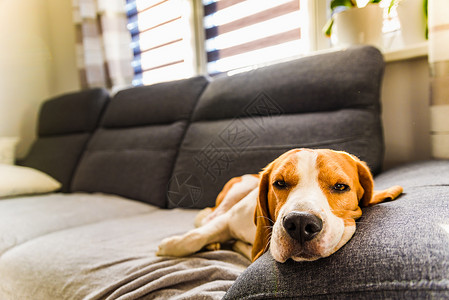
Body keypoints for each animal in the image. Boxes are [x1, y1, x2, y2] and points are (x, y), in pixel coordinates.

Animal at [156, 149, 400, 262]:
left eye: (340, 186)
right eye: (279, 183)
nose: (300, 223)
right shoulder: (230, 218)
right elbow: (196, 236)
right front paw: (171, 246)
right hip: (237, 190)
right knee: (207, 218)